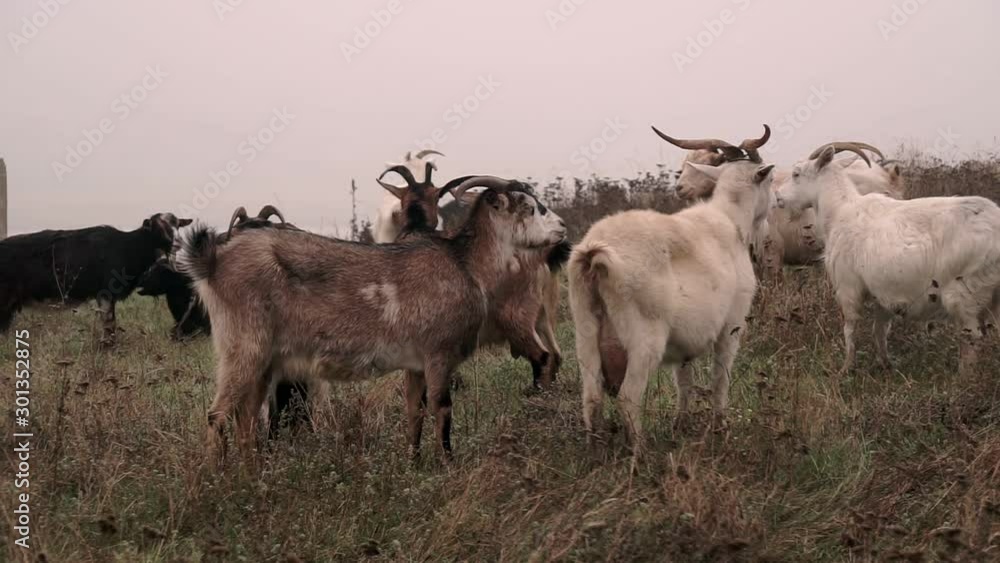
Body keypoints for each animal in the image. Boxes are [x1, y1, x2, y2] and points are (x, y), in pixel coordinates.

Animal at [0, 213, 190, 344]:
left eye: (178, 225)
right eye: (158, 226)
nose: (178, 243)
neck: (127, 246)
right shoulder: (106, 292)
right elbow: (109, 324)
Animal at [377, 162, 571, 388]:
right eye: (530, 208)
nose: (561, 225)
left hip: (517, 319)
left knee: (543, 356)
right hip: (542, 315)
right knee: (556, 354)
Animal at [569, 151, 776, 454]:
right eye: (769, 180)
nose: (775, 205)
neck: (729, 217)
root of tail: (595, 253)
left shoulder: (684, 345)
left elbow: (684, 384)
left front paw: (681, 426)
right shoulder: (731, 327)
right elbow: (720, 381)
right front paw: (721, 429)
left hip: (585, 333)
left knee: (591, 398)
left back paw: (593, 452)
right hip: (644, 339)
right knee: (628, 399)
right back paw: (640, 454)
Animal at [775, 144, 1000, 376]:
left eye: (796, 173)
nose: (778, 196)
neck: (840, 210)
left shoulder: (848, 287)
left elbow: (850, 329)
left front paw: (846, 368)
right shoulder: (882, 294)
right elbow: (880, 330)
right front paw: (886, 365)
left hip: (964, 293)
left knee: (972, 336)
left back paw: (964, 377)